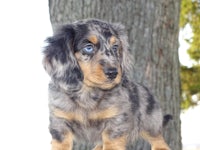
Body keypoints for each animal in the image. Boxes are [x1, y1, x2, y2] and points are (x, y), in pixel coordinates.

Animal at [42, 18, 170, 150]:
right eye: (88, 47)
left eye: (115, 47)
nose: (113, 73)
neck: (88, 93)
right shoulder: (60, 123)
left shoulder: (115, 122)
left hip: (151, 122)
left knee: (157, 138)